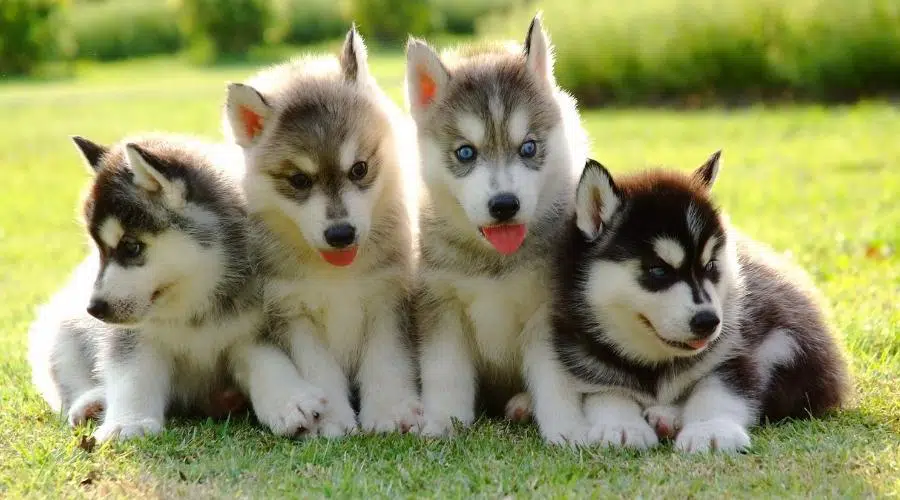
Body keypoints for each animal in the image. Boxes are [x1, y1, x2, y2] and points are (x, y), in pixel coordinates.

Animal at [29, 134, 326, 442]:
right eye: (99, 250)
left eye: (131, 247)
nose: (94, 308)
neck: (193, 302)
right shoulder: (133, 336)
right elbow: (132, 374)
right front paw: (129, 422)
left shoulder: (255, 327)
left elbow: (268, 361)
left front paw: (290, 401)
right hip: (58, 329)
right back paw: (92, 402)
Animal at [223, 27, 424, 436]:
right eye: (299, 180)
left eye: (360, 168)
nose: (341, 234)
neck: (337, 276)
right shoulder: (291, 313)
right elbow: (319, 371)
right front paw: (330, 420)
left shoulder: (388, 297)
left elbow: (386, 360)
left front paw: (390, 409)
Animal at [406, 16, 592, 446]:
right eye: (465, 152)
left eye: (528, 148)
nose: (504, 204)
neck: (493, 261)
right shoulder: (440, 304)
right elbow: (445, 371)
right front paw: (442, 422)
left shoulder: (549, 311)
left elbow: (556, 378)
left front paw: (567, 430)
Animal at [548, 153, 852, 454]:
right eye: (658, 270)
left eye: (711, 266)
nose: (708, 322)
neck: (655, 365)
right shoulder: (589, 367)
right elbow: (609, 395)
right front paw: (622, 426)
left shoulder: (740, 350)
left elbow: (718, 391)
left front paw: (711, 430)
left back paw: (666, 416)